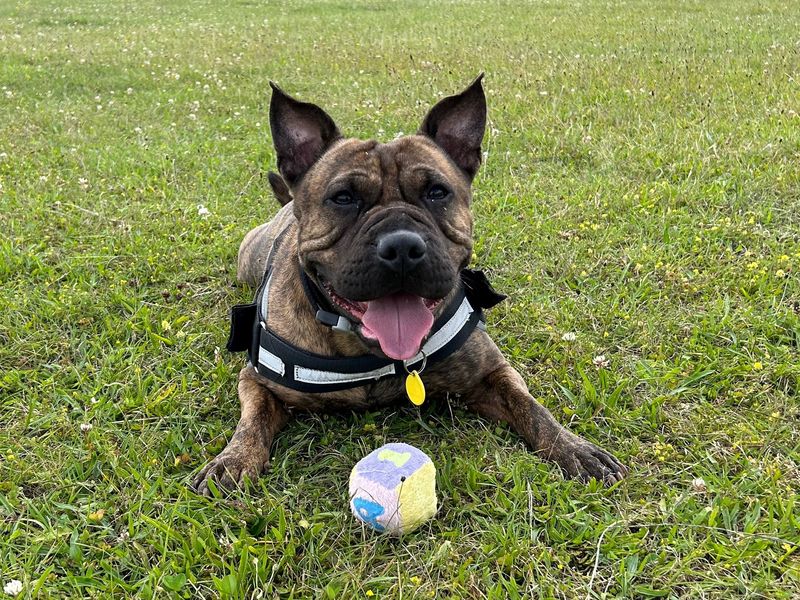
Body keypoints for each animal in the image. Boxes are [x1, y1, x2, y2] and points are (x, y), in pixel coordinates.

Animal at [192, 76, 624, 496]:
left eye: (437, 192)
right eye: (343, 198)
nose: (401, 246)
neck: (367, 353)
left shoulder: (492, 373)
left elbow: (533, 408)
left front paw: (574, 448)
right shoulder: (256, 381)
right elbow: (252, 419)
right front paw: (233, 459)